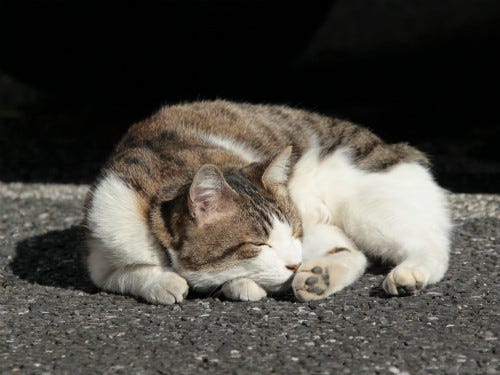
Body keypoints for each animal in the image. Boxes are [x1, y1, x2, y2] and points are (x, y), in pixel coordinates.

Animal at [84, 100, 452, 306]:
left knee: (431, 245)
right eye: (258, 244)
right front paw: (162, 282)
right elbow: (128, 274)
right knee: (353, 252)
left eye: (293, 233)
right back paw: (319, 278)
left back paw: (409, 273)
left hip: (368, 209)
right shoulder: (103, 251)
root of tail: (393, 146)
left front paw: (239, 285)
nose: (294, 264)